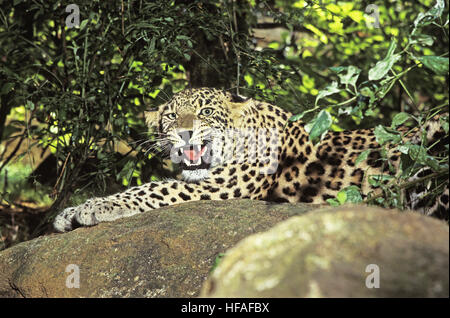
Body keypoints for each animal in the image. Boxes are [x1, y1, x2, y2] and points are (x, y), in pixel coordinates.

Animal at [53, 87, 450, 231]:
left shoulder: (220, 187)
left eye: (206, 112)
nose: (184, 133)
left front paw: (91, 208)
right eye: (171, 116)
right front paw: (68, 212)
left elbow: (148, 190)